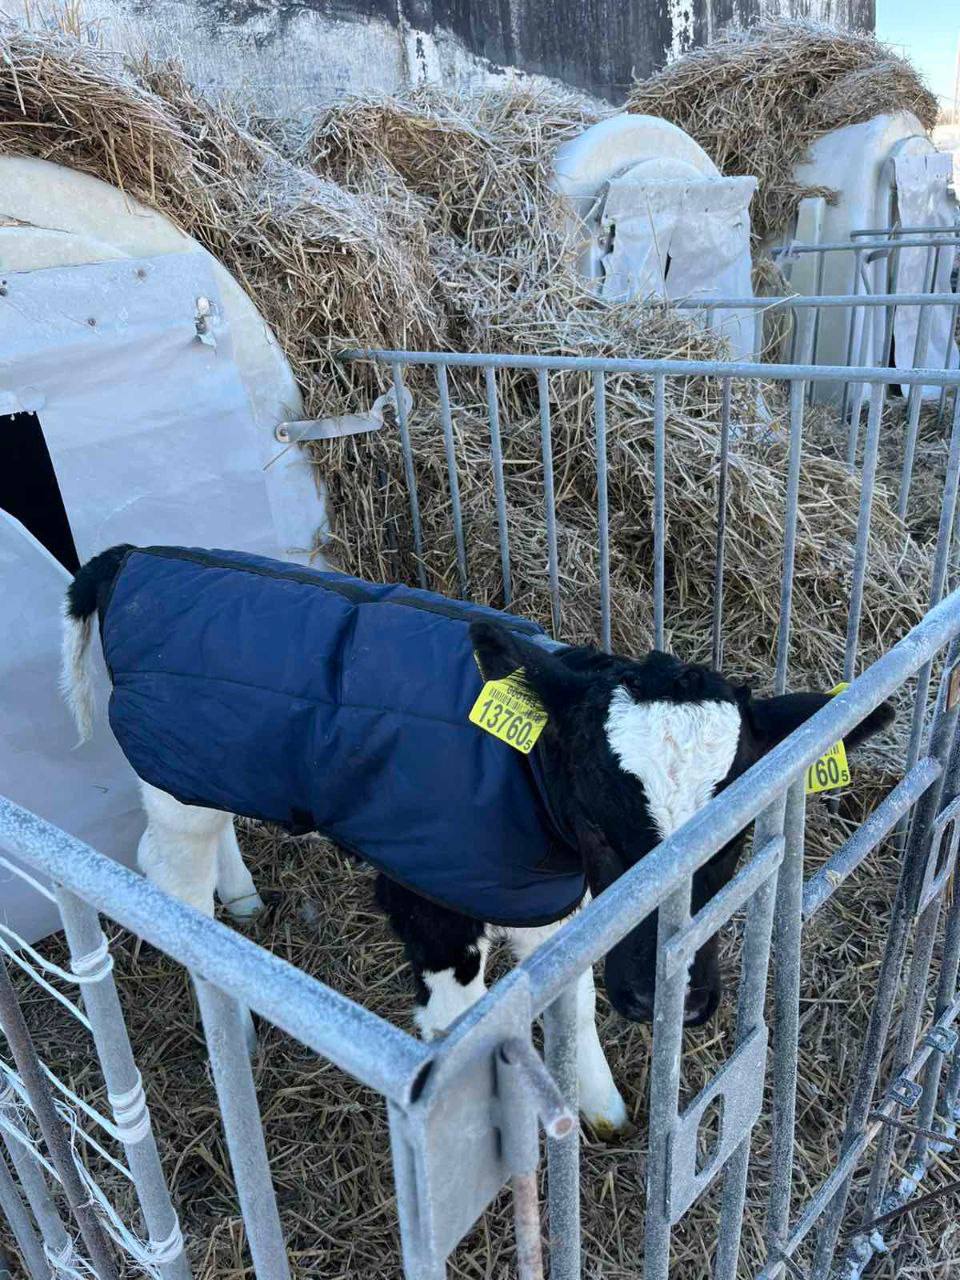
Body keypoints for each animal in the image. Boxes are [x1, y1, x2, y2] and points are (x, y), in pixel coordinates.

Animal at [61, 543, 893, 1137]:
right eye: (599, 821)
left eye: (737, 829)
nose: (670, 998)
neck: (519, 774)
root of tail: (135, 558)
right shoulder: (431, 894)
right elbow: (461, 1033)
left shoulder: (551, 898)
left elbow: (572, 1000)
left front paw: (600, 1107)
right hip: (171, 778)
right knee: (168, 876)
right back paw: (228, 1018)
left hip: (221, 761)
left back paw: (241, 901)